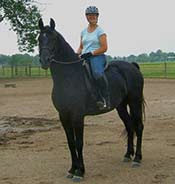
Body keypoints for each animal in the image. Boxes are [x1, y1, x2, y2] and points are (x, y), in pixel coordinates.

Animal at [38, 18, 145, 182]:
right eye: (39, 38)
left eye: (53, 39)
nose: (44, 60)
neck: (68, 78)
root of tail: (132, 67)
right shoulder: (63, 116)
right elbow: (70, 143)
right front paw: (72, 169)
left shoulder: (77, 116)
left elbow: (79, 143)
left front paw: (80, 172)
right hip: (121, 106)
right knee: (129, 126)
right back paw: (128, 155)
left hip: (134, 103)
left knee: (138, 127)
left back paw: (137, 159)